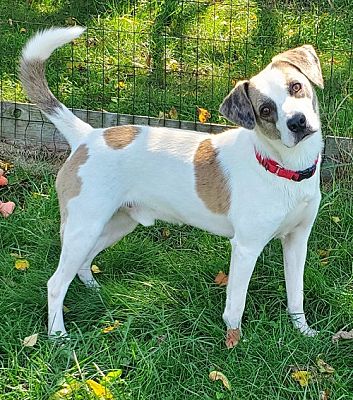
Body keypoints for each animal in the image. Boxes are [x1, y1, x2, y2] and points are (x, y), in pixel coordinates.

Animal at [18, 27, 322, 346]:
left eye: (296, 86)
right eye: (265, 110)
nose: (298, 122)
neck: (283, 168)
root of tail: (86, 136)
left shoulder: (297, 240)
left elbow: (296, 295)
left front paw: (303, 331)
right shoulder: (246, 248)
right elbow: (235, 306)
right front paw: (234, 343)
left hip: (115, 225)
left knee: (82, 263)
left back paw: (96, 293)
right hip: (84, 228)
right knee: (55, 283)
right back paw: (58, 335)